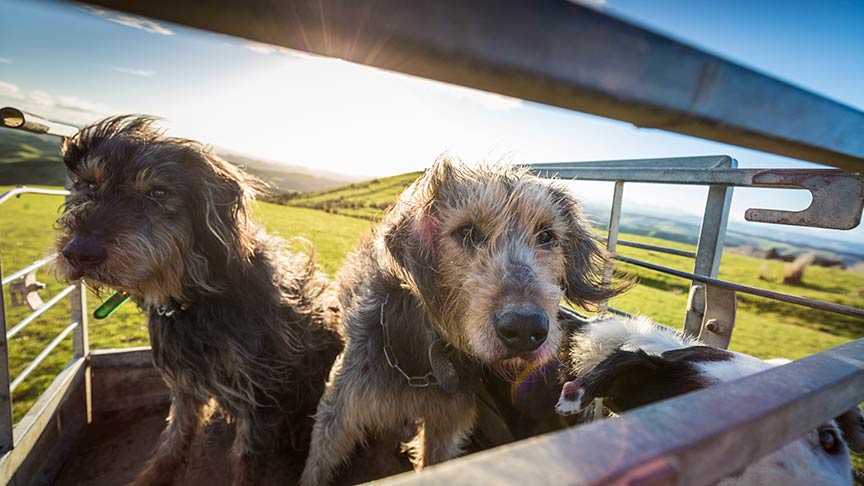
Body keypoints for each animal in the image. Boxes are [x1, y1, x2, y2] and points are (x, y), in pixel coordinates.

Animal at [52, 117, 344, 486]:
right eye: (89, 184)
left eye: (158, 193)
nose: (78, 253)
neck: (196, 300)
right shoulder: (184, 382)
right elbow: (174, 436)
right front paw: (153, 476)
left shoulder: (260, 394)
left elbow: (247, 459)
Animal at [300, 158, 624, 484]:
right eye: (466, 231)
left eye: (546, 236)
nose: (524, 329)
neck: (426, 350)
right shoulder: (341, 409)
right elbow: (318, 463)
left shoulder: (448, 419)